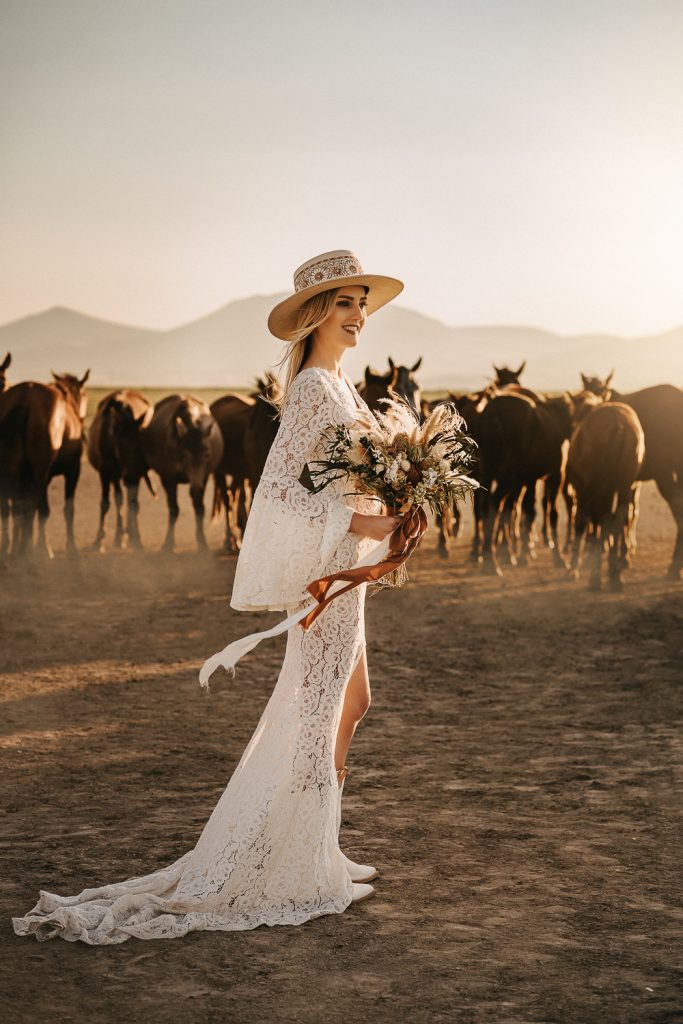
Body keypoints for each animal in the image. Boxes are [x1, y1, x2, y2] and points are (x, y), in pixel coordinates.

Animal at [0, 370, 89, 561]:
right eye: (84, 394)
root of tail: (24, 398)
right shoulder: (73, 469)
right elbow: (66, 509)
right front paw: (68, 548)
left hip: (14, 471)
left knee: (16, 508)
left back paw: (15, 550)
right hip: (39, 472)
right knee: (34, 508)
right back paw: (29, 551)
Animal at [87, 391, 156, 552]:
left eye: (140, 445)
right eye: (119, 444)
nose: (129, 477)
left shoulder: (136, 473)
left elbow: (133, 504)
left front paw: (135, 539)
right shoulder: (105, 472)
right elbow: (106, 503)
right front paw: (100, 539)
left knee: (129, 502)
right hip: (115, 476)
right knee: (119, 499)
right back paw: (119, 538)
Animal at [140, 393, 223, 552]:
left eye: (207, 455)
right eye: (185, 454)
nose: (195, 487)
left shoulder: (204, 476)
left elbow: (199, 508)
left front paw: (202, 543)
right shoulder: (168, 477)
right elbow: (174, 509)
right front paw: (168, 544)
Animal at [569, 401, 643, 593]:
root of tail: (618, 424)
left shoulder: (582, 489)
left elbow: (583, 523)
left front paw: (575, 566)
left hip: (603, 490)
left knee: (603, 518)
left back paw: (596, 578)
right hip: (623, 485)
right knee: (619, 517)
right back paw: (615, 575)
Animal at [581, 370, 683, 581]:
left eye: (602, 391)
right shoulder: (631, 482)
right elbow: (629, 513)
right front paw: (624, 554)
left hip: (665, 474)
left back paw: (674, 567)